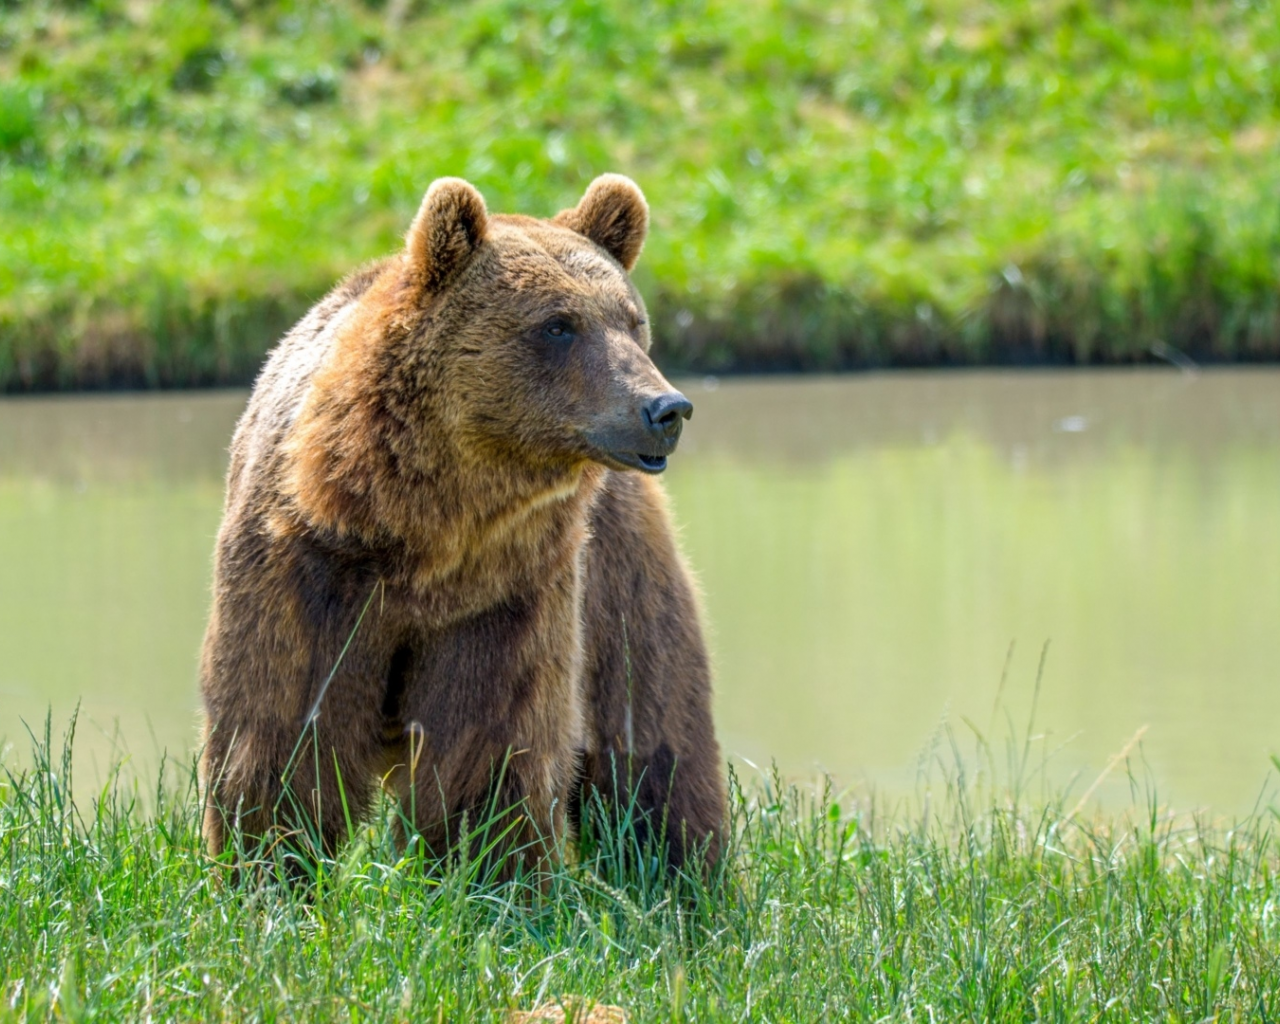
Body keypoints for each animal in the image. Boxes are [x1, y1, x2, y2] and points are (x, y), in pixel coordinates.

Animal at [195, 171, 727, 875]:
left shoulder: (505, 592)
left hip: (618, 571)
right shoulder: (307, 568)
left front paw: (483, 865)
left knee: (653, 728)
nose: (665, 409)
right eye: (558, 324)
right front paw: (273, 866)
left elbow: (490, 740)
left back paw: (682, 874)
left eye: (633, 321)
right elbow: (283, 728)